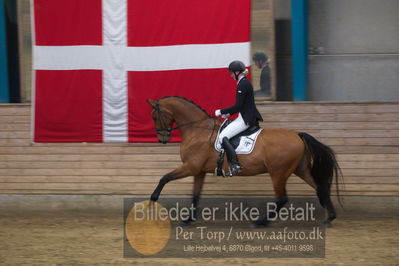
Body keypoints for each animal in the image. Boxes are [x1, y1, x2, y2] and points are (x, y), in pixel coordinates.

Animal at [148, 96, 344, 228]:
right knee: (320, 188)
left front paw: (151, 202)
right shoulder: (199, 171)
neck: (197, 130)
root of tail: (297, 135)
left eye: (155, 117)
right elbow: (195, 195)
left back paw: (260, 222)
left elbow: (164, 178)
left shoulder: (190, 167)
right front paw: (188, 219)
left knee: (282, 198)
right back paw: (330, 217)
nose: (162, 139)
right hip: (299, 169)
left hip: (278, 173)